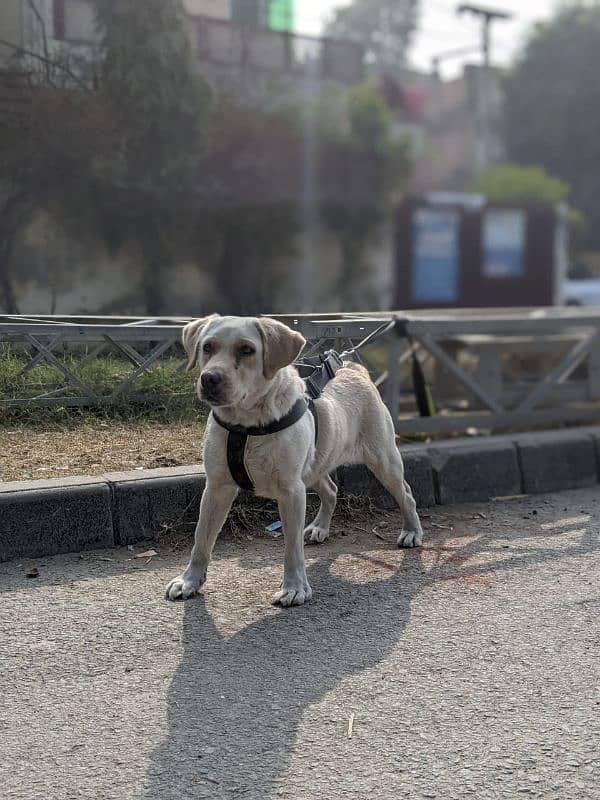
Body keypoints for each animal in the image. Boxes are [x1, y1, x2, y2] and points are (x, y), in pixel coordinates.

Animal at [166, 314, 424, 608]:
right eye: (207, 347)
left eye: (246, 350)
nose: (209, 378)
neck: (246, 425)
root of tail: (353, 369)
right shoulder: (217, 486)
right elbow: (201, 538)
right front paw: (189, 580)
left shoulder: (291, 491)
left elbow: (291, 547)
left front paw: (294, 587)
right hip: (314, 467)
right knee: (331, 491)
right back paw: (320, 527)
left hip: (383, 461)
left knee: (406, 494)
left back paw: (412, 531)